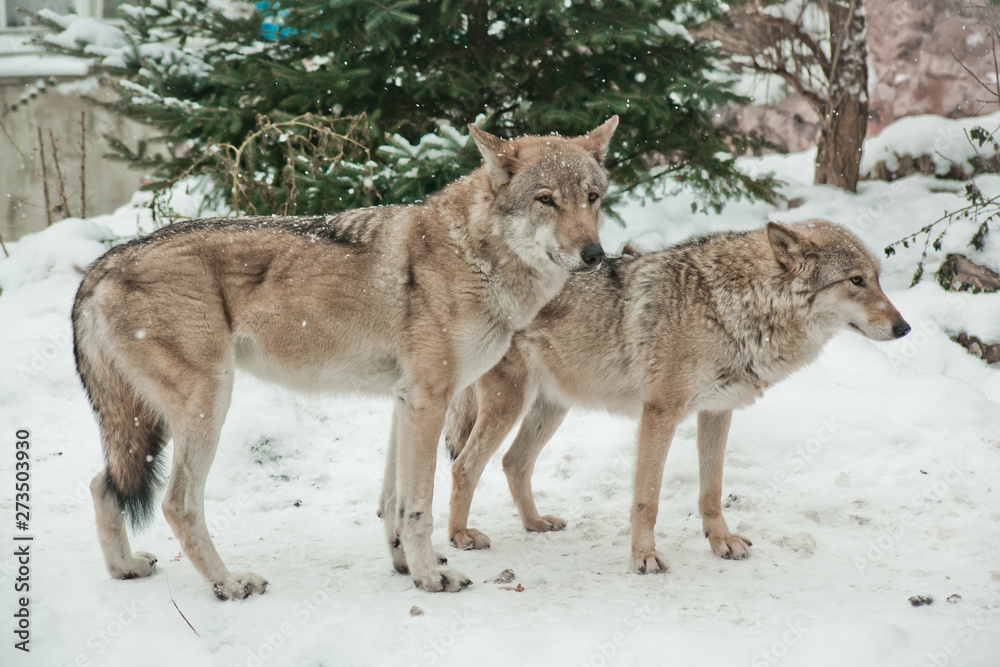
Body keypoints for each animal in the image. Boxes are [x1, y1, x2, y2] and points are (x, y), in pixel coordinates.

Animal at [72, 117, 619, 599]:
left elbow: (392, 502)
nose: (594, 255)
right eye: (545, 200)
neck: (474, 253)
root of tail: (101, 265)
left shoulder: (407, 400)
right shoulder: (429, 399)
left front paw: (405, 565)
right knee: (176, 503)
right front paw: (431, 578)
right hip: (207, 406)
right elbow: (419, 505)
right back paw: (229, 585)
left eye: (592, 198)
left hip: (147, 423)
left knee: (102, 483)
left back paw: (126, 568)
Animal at [445, 220, 910, 573]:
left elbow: (712, 491)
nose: (904, 328)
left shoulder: (719, 411)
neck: (734, 307)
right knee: (465, 465)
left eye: (878, 279)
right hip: (509, 403)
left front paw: (721, 542)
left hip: (551, 407)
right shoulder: (660, 413)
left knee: (513, 462)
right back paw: (459, 536)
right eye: (856, 281)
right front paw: (644, 557)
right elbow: (647, 499)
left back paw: (535, 523)